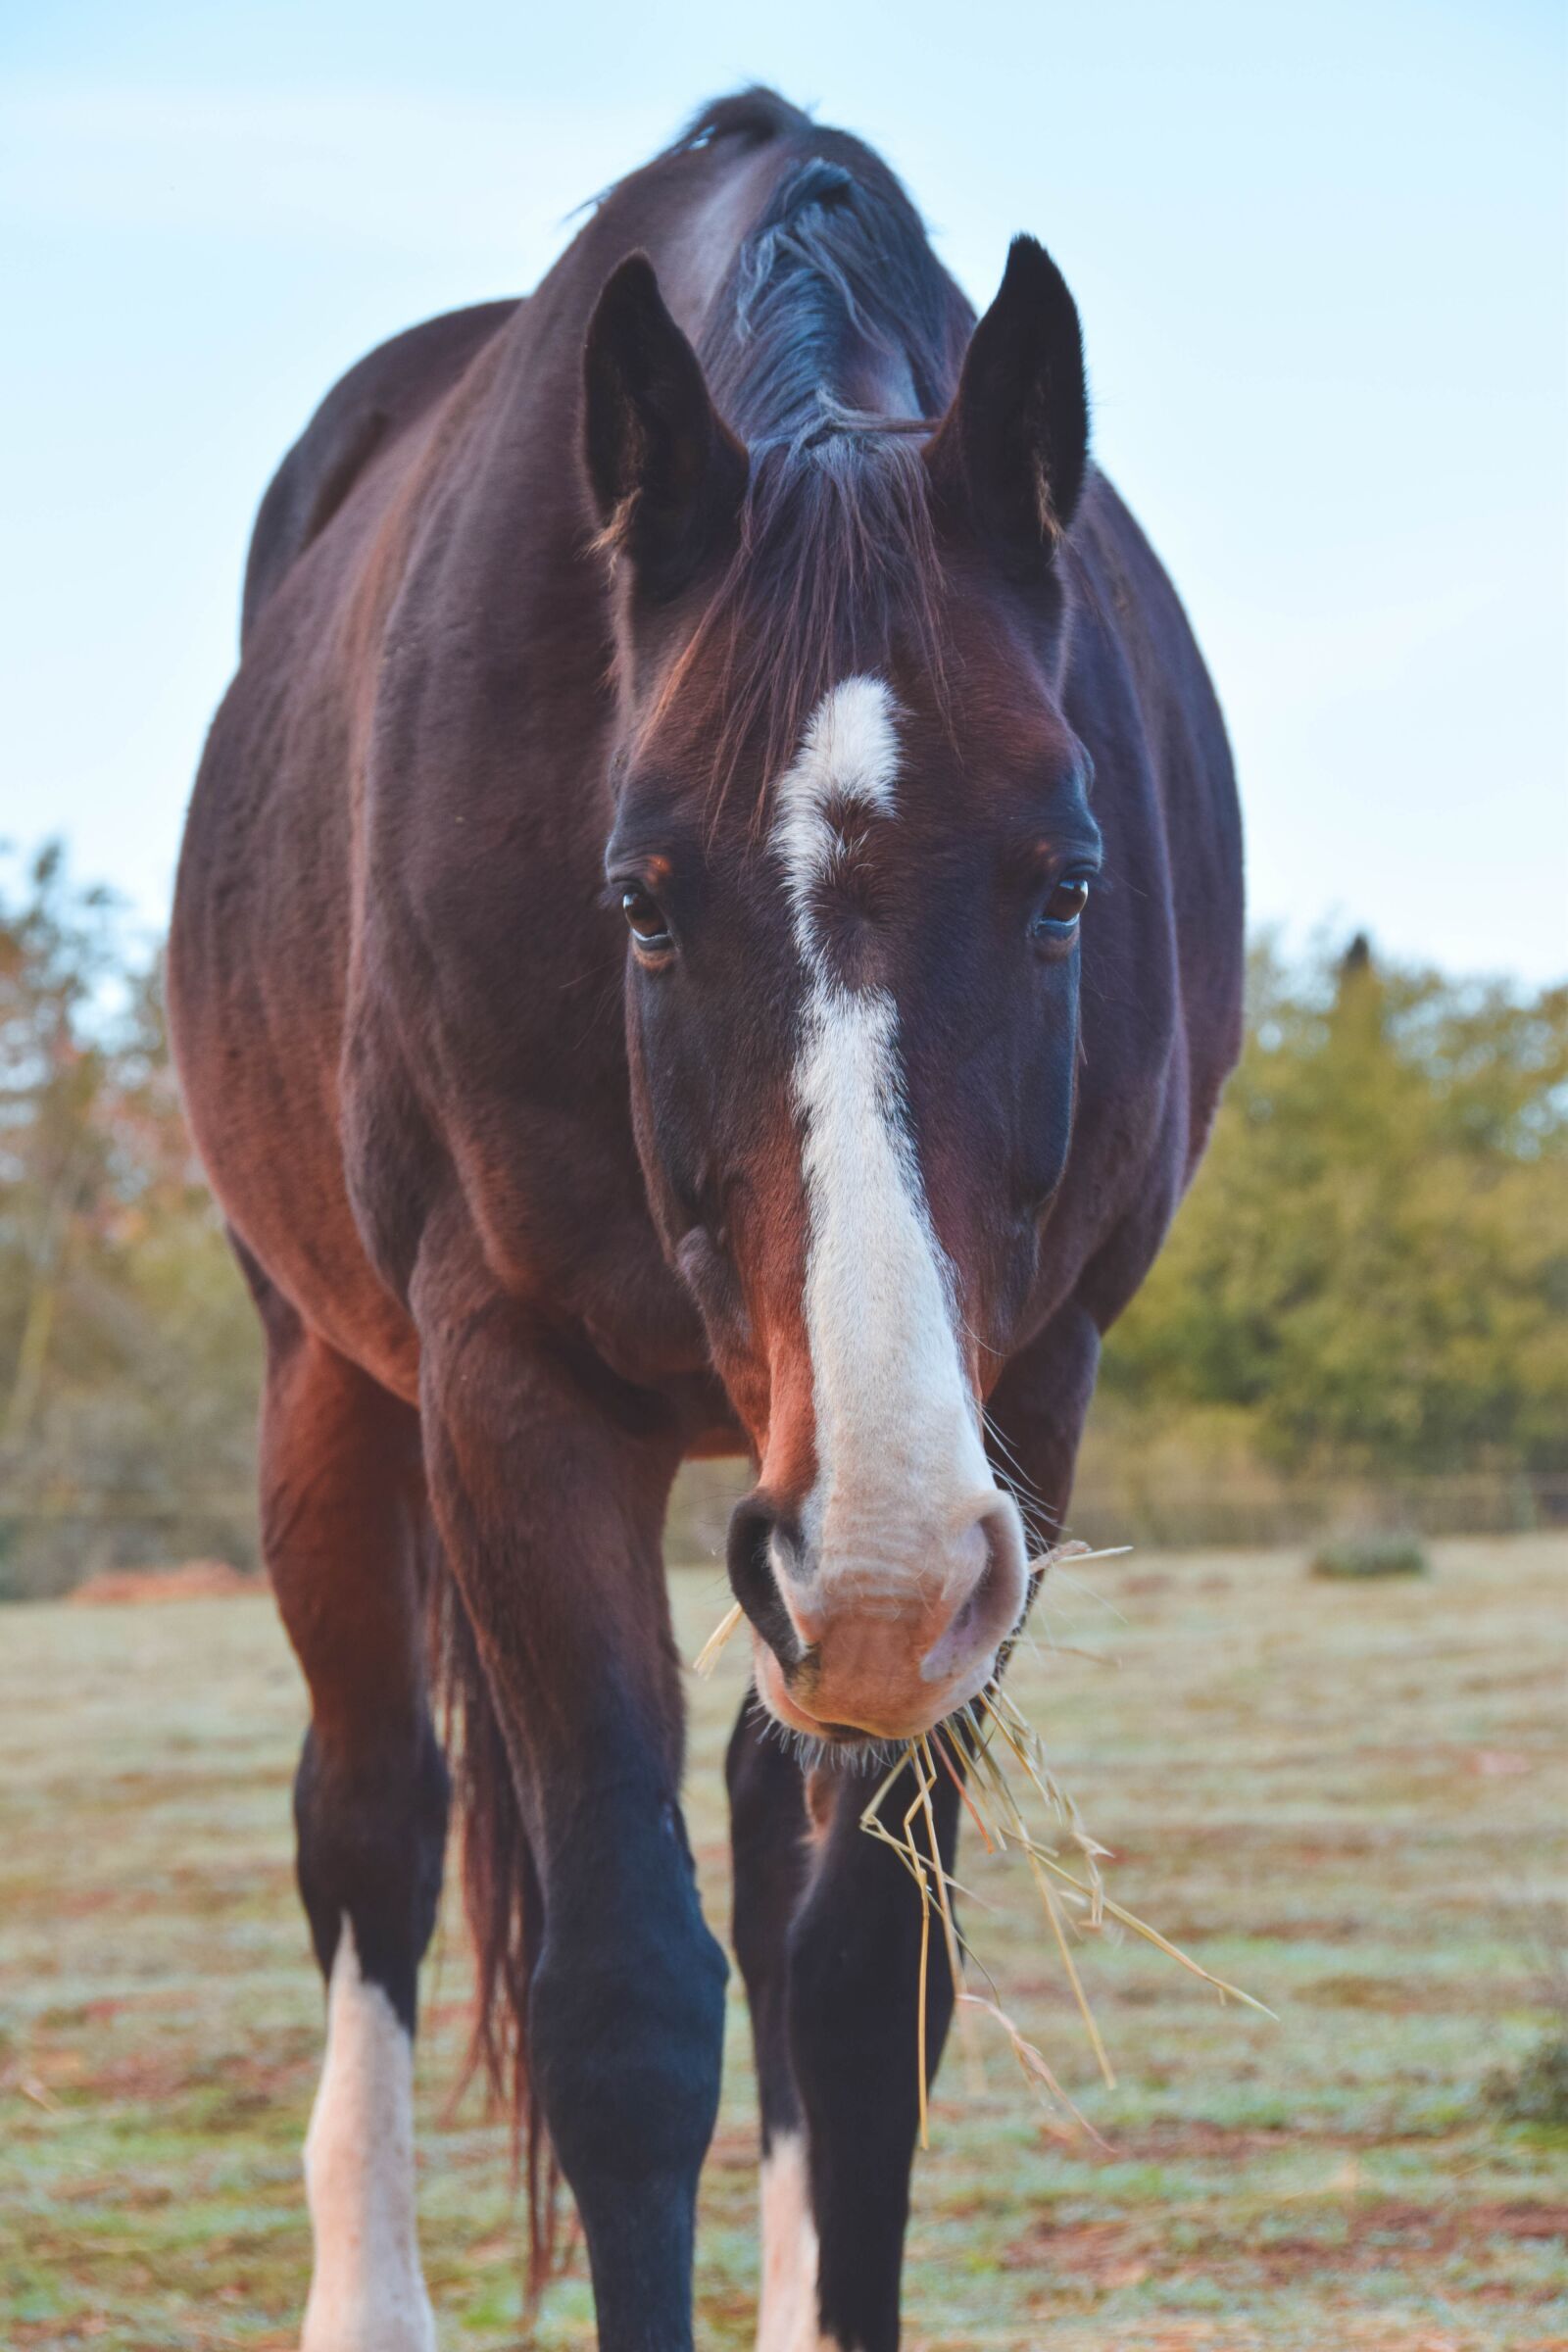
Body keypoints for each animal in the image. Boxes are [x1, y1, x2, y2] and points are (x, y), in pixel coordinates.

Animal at [168, 85, 1242, 2352]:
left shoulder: (1016, 1406)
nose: (884, 1562)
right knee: (374, 1826)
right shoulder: (510, 1393)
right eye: (640, 896)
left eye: (1068, 881)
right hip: (338, 1387)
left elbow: (860, 1993)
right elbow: (626, 2016)